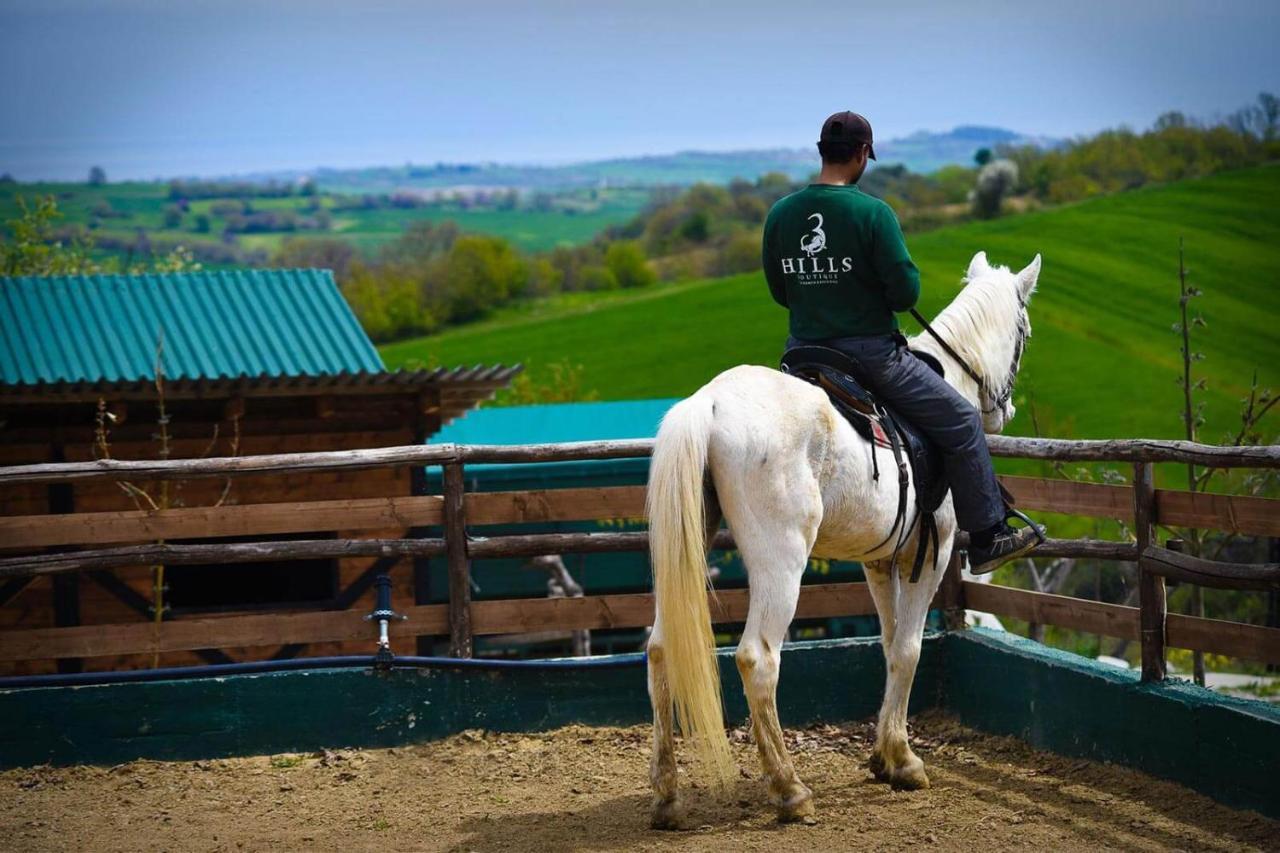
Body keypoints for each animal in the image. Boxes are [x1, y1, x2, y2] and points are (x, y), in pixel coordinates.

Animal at [650, 247, 1039, 824]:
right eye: (1024, 330)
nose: (1005, 409)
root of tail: (710, 403)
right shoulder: (932, 553)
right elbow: (909, 650)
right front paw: (904, 761)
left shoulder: (879, 561)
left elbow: (889, 643)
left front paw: (884, 755)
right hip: (781, 562)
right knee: (758, 658)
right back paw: (789, 789)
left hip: (685, 548)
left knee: (659, 650)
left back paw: (667, 797)